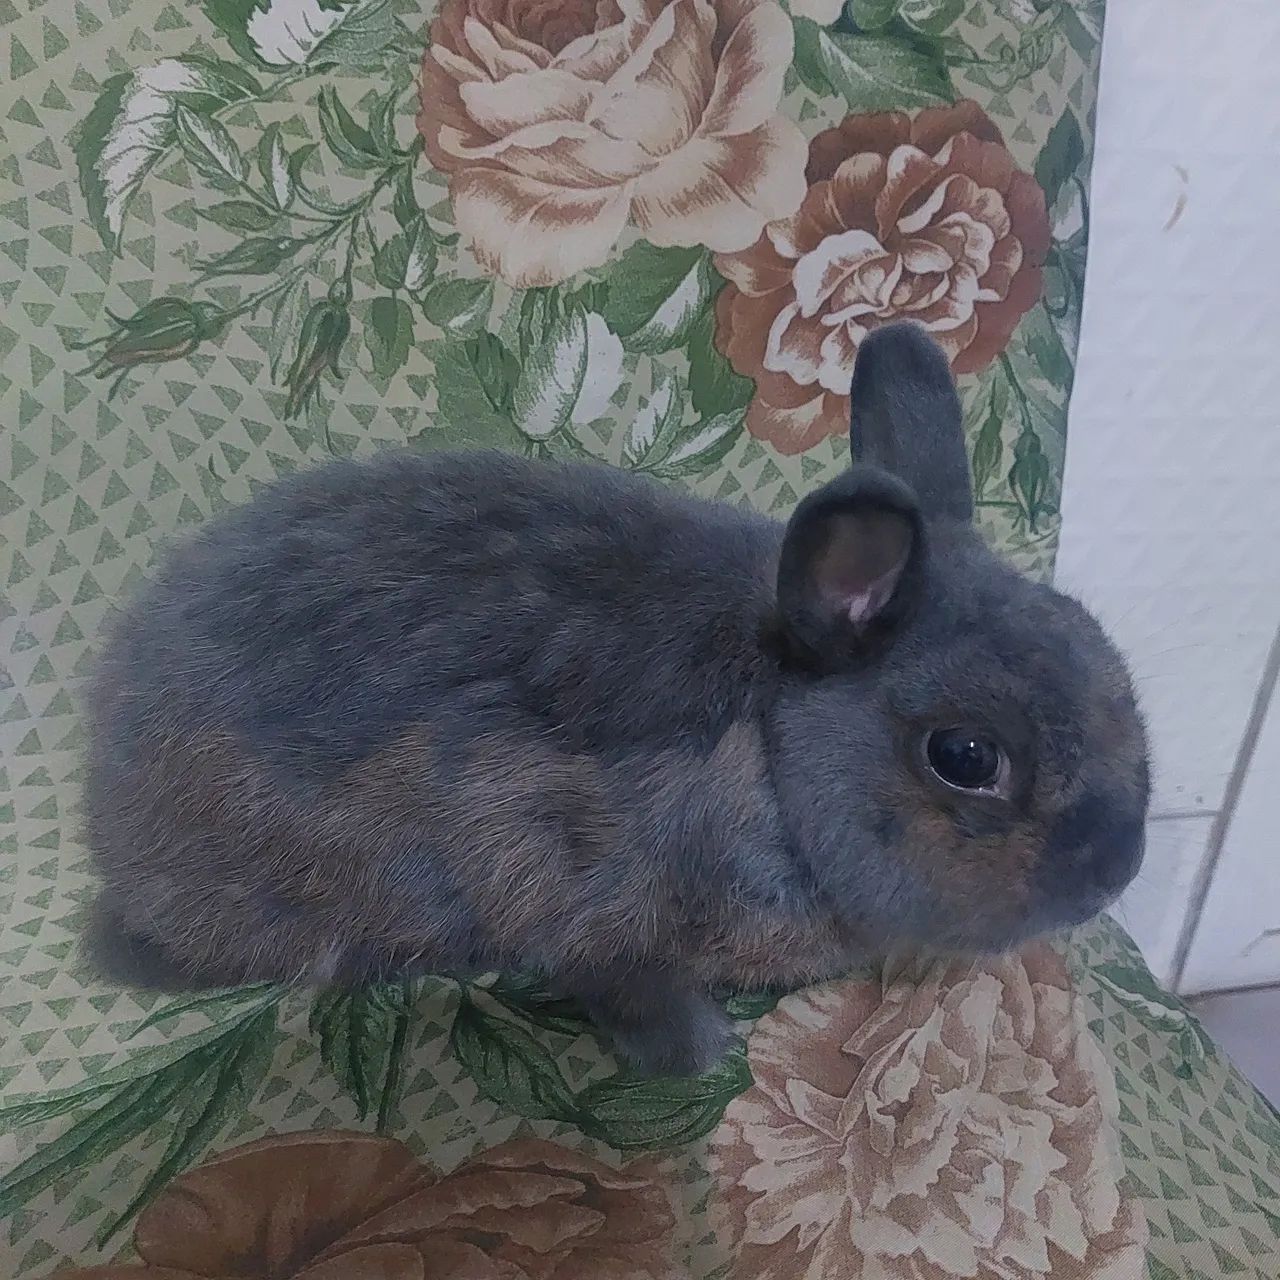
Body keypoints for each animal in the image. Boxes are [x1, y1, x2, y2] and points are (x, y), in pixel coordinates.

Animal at [81, 322, 1149, 1076]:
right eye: (965, 757)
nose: (1116, 871)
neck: (773, 754)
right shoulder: (565, 880)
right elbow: (624, 983)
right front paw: (707, 1054)